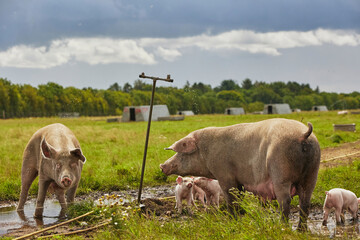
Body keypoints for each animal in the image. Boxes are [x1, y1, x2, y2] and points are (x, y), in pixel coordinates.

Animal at [160, 119, 320, 230]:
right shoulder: (240, 181)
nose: (162, 166)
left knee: (285, 201)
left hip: (280, 171)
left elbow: (230, 199)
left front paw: (231, 220)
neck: (207, 150)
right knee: (305, 202)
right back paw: (301, 230)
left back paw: (282, 227)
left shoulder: (225, 175)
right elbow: (239, 198)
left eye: (181, 153)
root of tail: (303, 135)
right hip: (312, 173)